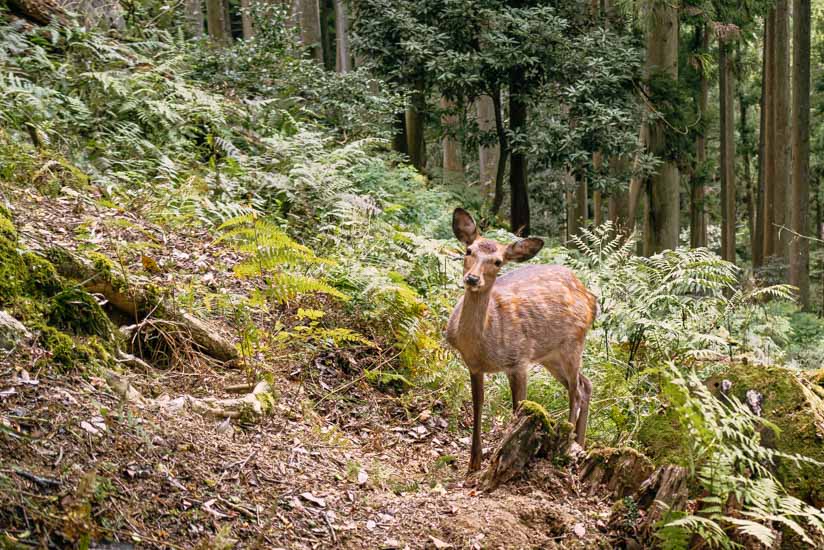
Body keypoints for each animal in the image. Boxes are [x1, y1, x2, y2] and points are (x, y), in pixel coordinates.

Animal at [444, 208, 600, 474]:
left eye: (498, 262)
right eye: (469, 251)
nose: (472, 279)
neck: (481, 344)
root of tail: (591, 298)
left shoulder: (519, 360)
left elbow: (518, 407)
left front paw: (502, 457)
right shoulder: (474, 366)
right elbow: (478, 404)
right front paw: (474, 463)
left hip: (574, 343)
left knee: (576, 390)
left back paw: (568, 446)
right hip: (551, 355)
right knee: (586, 382)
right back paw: (580, 443)